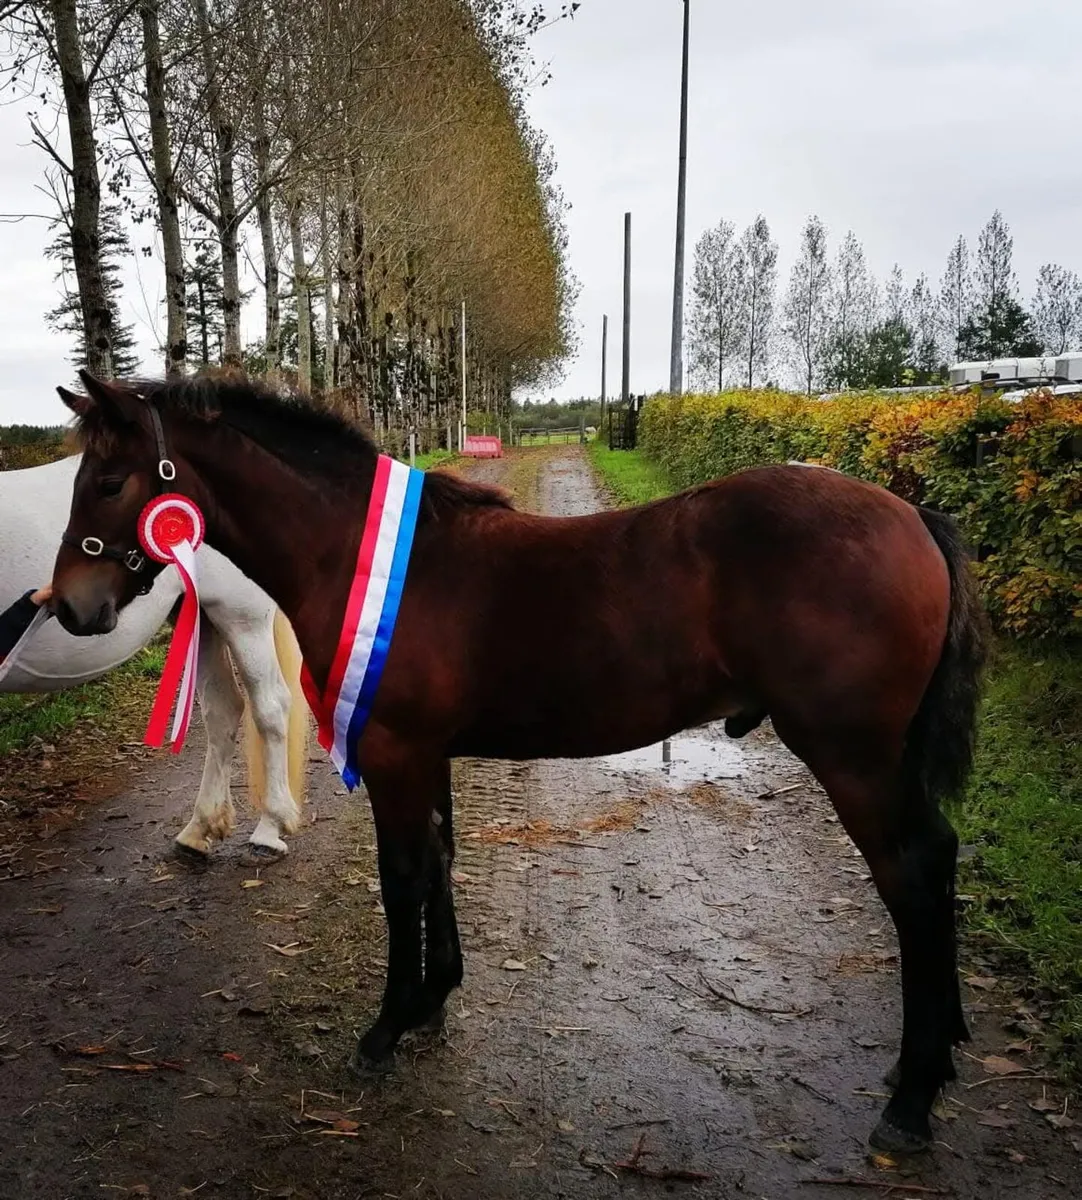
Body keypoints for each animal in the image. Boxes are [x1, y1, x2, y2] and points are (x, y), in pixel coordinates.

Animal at [1, 453, 309, 861]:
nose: (65, 606)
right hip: (199, 616)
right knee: (224, 708)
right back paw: (199, 829)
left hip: (241, 615)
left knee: (270, 706)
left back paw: (269, 827)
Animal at [47, 371, 986, 1155]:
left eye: (109, 482)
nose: (72, 608)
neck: (361, 554)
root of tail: (912, 516)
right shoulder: (427, 755)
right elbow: (439, 863)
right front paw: (433, 1002)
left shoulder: (393, 753)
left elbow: (402, 879)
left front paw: (386, 1029)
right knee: (938, 859)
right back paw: (927, 1065)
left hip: (852, 757)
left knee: (912, 877)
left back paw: (910, 1102)